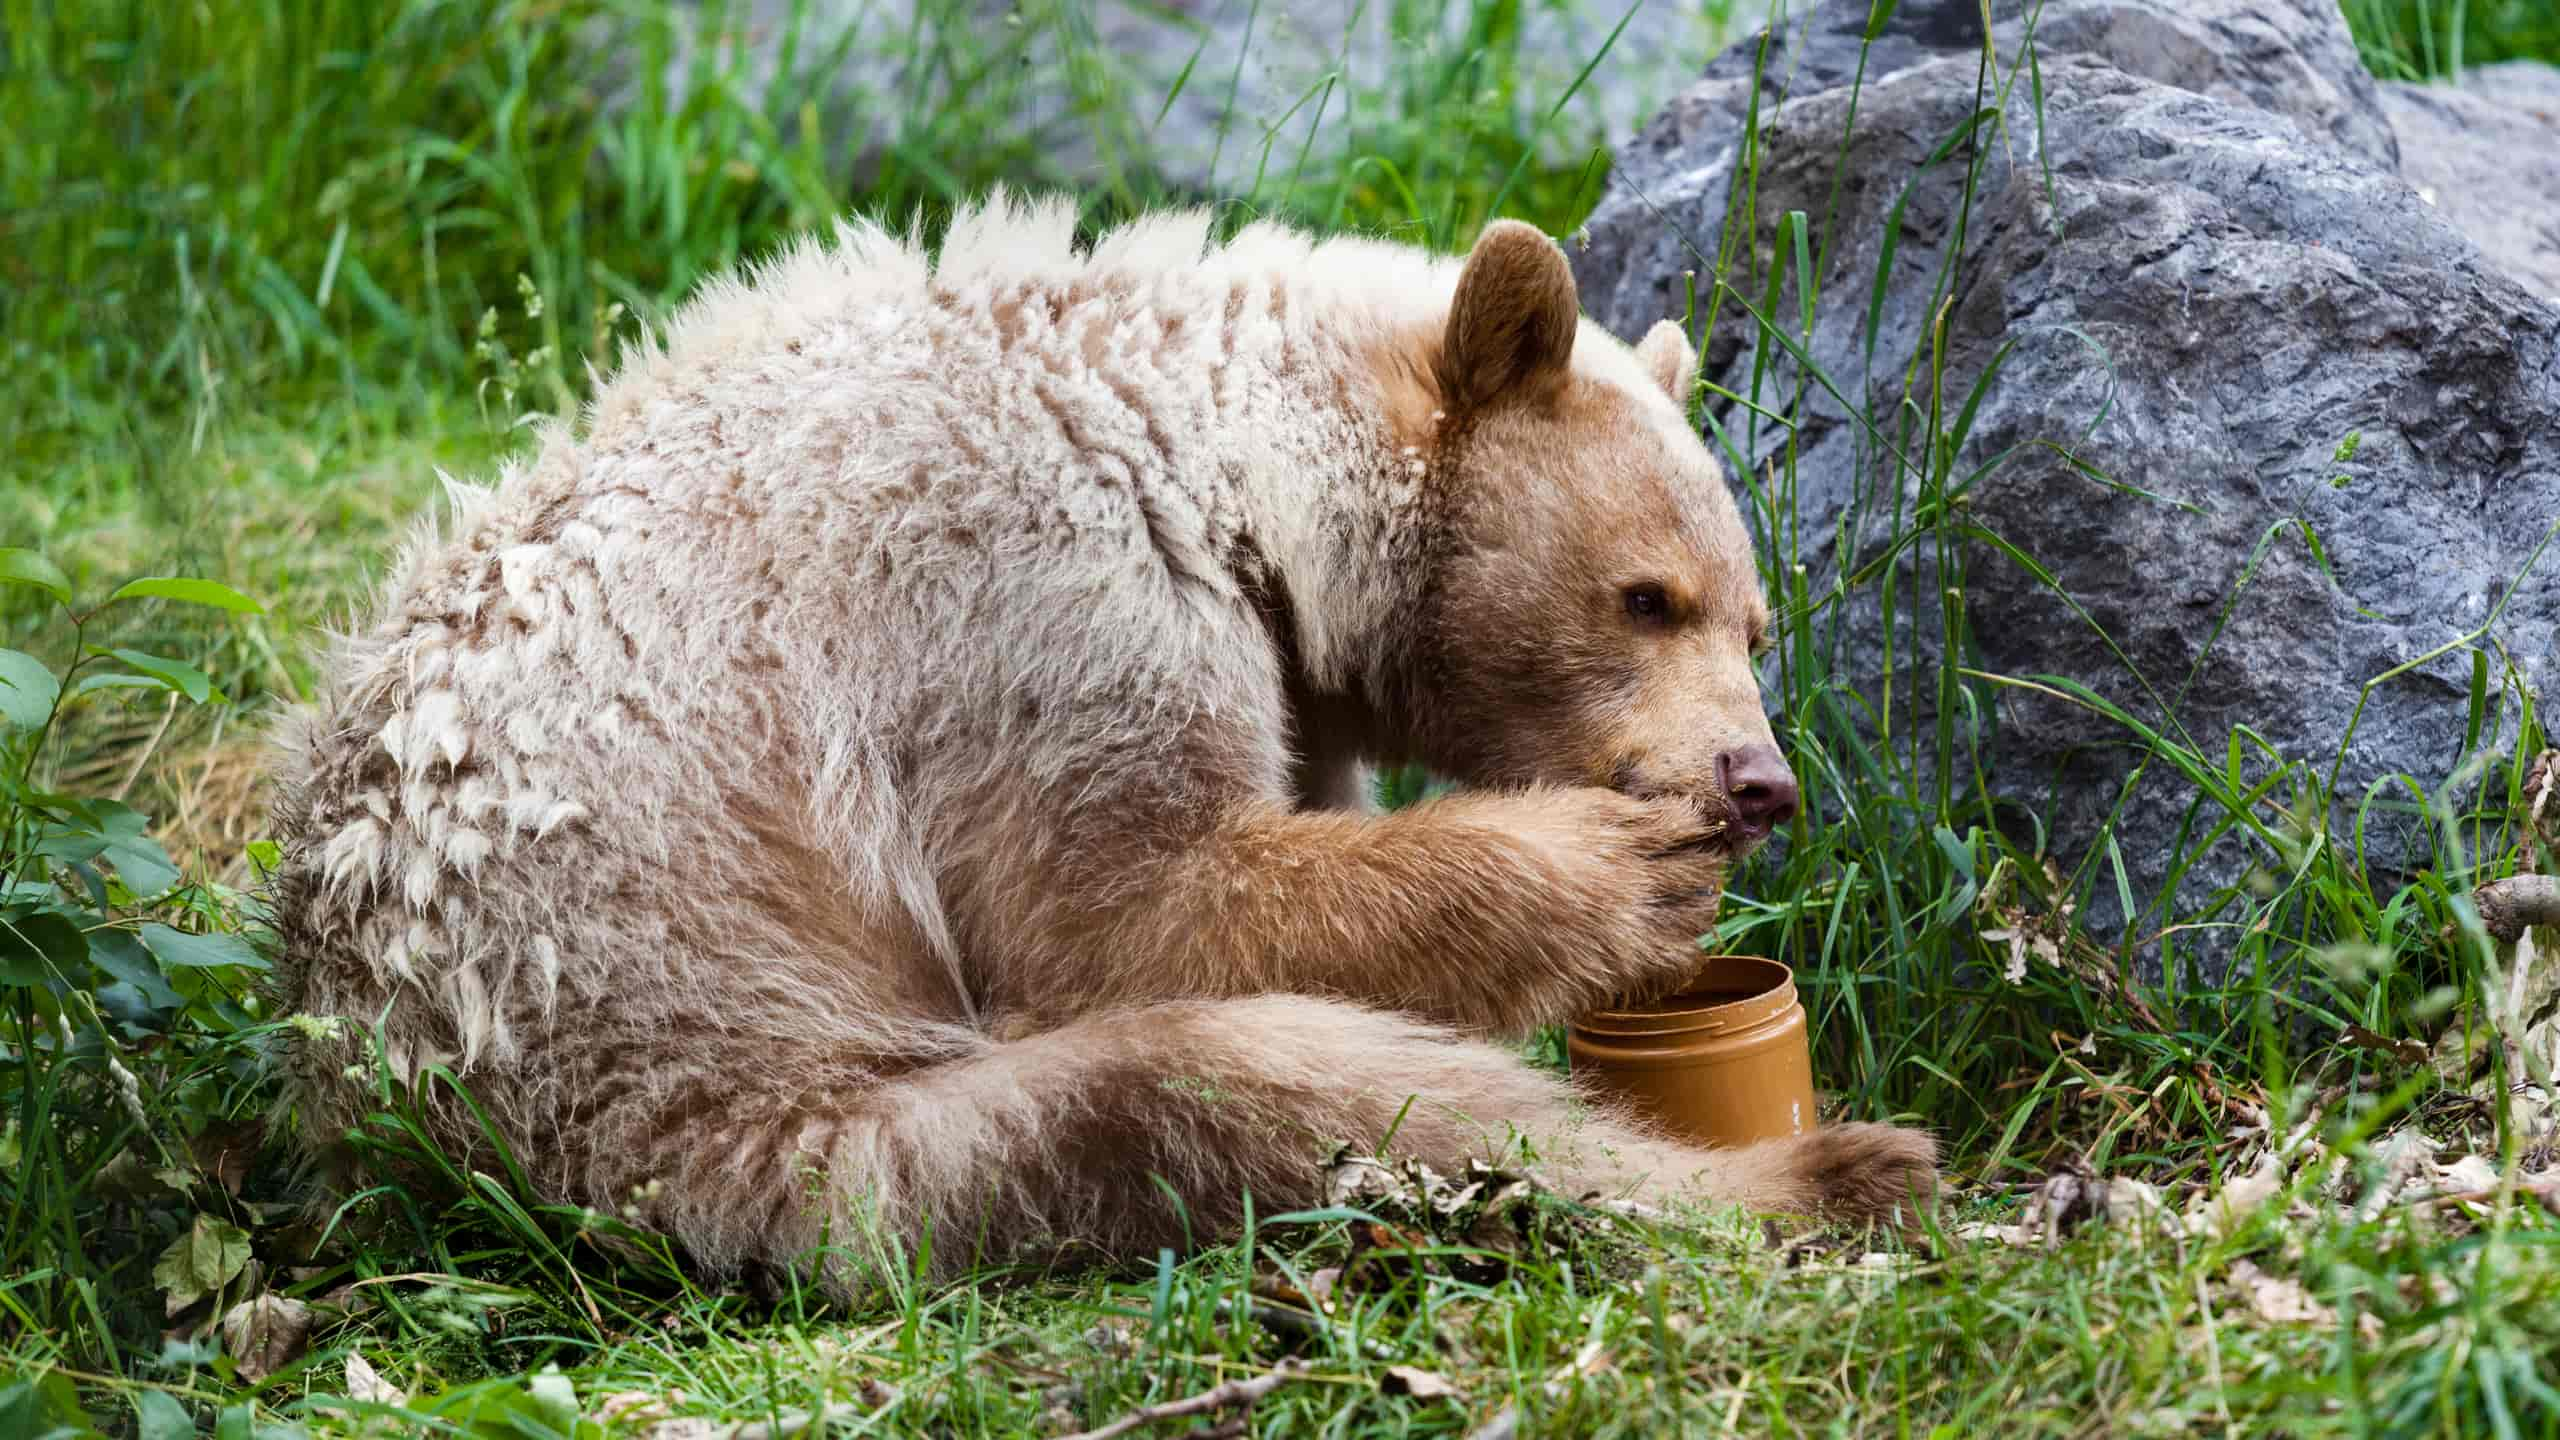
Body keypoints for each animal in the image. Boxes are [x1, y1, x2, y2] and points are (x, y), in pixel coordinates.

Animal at [264, 193, 1935, 1291]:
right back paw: (1818, 1175)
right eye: (1647, 596)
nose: (1755, 781)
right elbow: (1126, 906)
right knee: (1252, 1094)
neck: (1220, 461)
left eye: (1758, 624)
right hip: (752, 1091)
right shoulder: (1038, 599)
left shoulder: (1277, 681)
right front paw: (1620, 870)